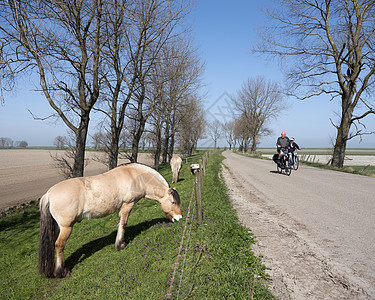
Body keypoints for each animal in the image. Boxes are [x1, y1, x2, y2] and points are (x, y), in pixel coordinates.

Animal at [38, 163, 184, 278]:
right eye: (173, 202)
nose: (179, 218)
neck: (136, 177)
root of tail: (48, 194)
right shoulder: (127, 205)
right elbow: (123, 224)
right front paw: (121, 245)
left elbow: (120, 224)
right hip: (66, 227)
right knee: (59, 245)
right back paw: (61, 272)